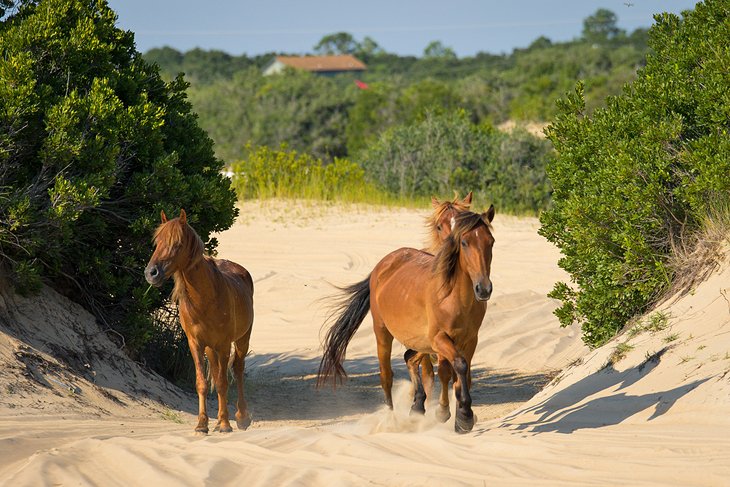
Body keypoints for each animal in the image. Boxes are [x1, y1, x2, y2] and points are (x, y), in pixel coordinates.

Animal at [144, 210, 255, 434]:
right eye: (157, 242)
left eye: (177, 243)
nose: (151, 273)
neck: (205, 299)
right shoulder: (195, 343)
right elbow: (202, 383)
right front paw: (202, 424)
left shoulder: (224, 345)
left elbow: (222, 383)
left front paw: (225, 424)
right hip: (211, 349)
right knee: (217, 371)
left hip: (241, 340)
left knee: (237, 370)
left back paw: (241, 417)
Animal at [316, 207, 492, 434]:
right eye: (464, 242)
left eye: (491, 242)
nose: (484, 289)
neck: (453, 296)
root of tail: (381, 266)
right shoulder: (440, 339)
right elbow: (457, 367)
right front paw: (460, 415)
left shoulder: (469, 340)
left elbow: (462, 373)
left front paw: (461, 416)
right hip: (383, 333)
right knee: (386, 376)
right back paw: (391, 420)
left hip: (421, 341)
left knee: (410, 357)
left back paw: (417, 407)